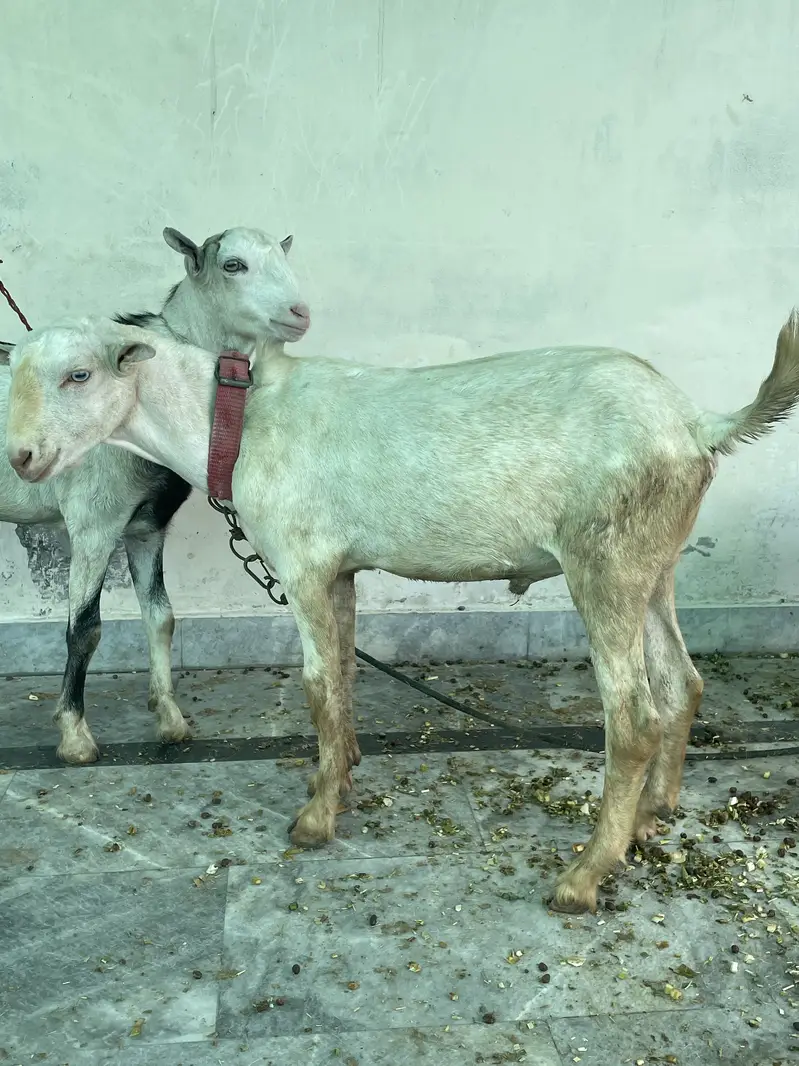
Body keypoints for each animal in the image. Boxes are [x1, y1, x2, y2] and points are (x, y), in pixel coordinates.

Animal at [0, 227, 309, 764]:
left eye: (284, 255)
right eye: (232, 265)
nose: (299, 313)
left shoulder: (146, 527)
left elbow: (161, 617)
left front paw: (170, 719)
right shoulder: (94, 523)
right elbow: (84, 628)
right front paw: (75, 736)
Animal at [5, 311, 799, 913]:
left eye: (79, 374)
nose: (23, 457)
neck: (238, 420)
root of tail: (696, 422)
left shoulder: (301, 561)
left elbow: (317, 686)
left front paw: (314, 820)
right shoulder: (338, 568)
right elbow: (344, 676)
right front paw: (341, 774)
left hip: (604, 562)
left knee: (632, 719)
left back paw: (582, 877)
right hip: (653, 565)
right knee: (683, 682)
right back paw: (652, 815)